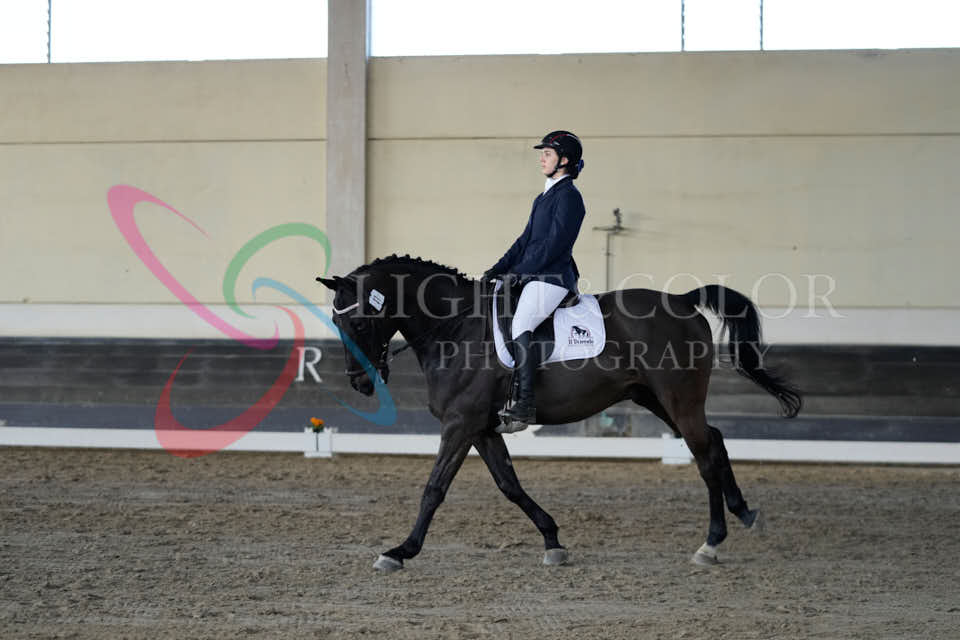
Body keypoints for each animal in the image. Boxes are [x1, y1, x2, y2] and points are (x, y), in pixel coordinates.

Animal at [317, 254, 801, 570]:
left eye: (357, 321)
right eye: (337, 323)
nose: (360, 383)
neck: (454, 328)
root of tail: (681, 301)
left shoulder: (460, 424)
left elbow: (434, 489)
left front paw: (400, 551)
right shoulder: (482, 428)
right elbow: (509, 485)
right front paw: (552, 539)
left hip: (679, 399)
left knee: (703, 454)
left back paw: (711, 543)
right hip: (655, 399)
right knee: (714, 442)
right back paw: (744, 515)